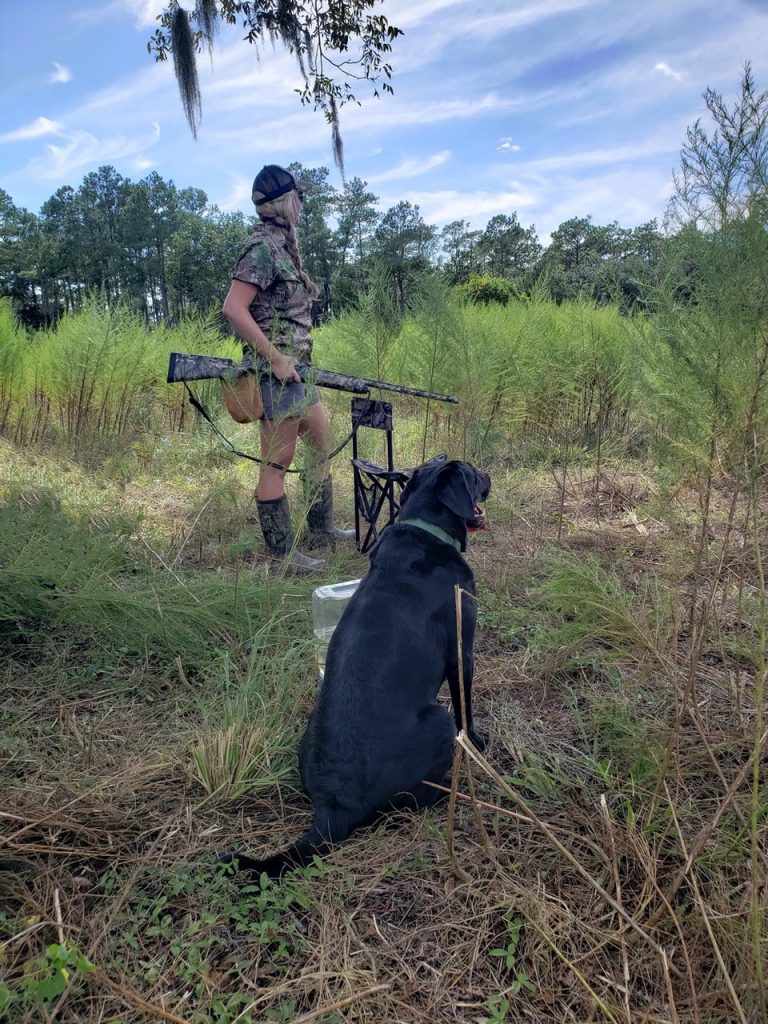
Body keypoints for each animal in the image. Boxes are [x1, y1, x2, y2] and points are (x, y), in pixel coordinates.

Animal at [228, 460, 493, 876]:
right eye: (472, 473)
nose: (488, 475)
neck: (425, 531)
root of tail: (335, 807)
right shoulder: (462, 652)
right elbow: (465, 707)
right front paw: (478, 743)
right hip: (438, 719)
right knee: (416, 797)